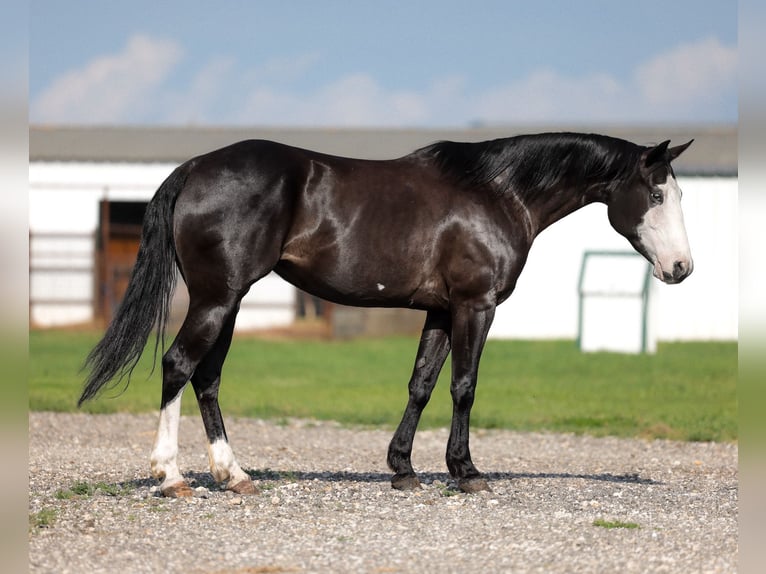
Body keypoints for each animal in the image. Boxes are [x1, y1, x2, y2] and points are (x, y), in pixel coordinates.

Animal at [79, 132, 694, 496]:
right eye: (657, 196)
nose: (682, 268)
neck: (498, 193)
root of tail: (195, 167)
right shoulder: (475, 306)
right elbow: (464, 386)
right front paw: (466, 472)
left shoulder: (441, 311)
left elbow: (421, 385)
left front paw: (404, 469)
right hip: (217, 299)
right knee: (179, 365)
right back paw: (170, 476)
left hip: (227, 303)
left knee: (207, 378)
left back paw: (233, 475)